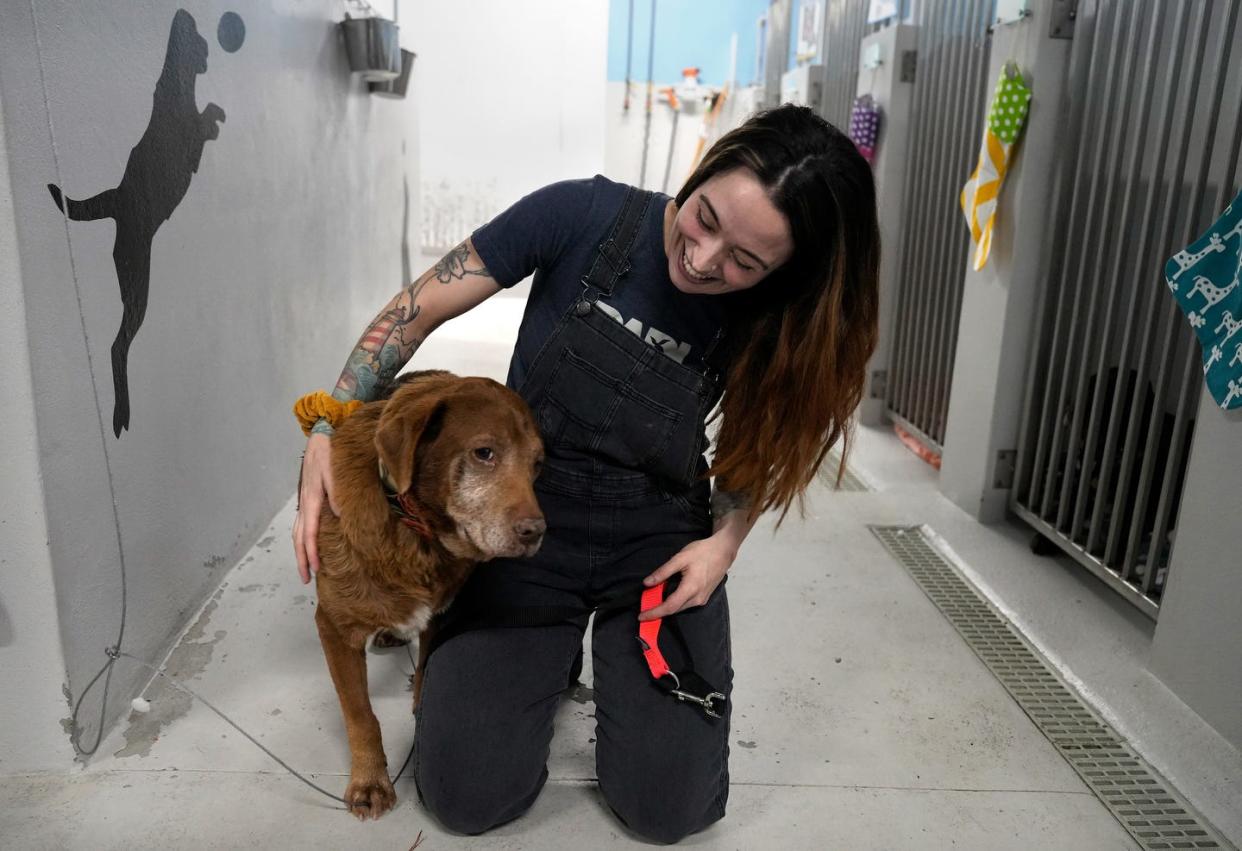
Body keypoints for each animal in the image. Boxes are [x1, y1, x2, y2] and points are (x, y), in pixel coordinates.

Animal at [310, 370, 543, 814]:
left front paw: (421, 707)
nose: (537, 533)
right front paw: (370, 780)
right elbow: (360, 715)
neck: (413, 529)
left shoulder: (440, 611)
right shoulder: (334, 627)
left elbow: (424, 667)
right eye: (484, 453)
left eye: (537, 465)